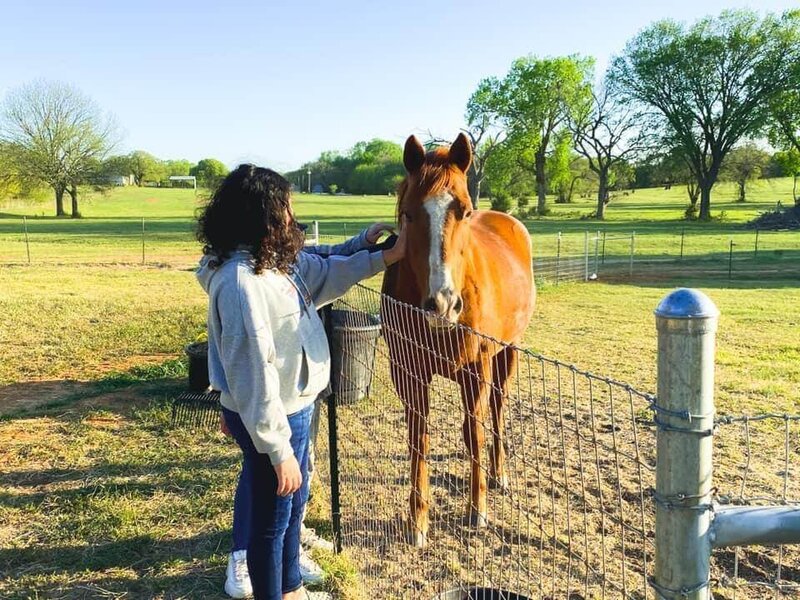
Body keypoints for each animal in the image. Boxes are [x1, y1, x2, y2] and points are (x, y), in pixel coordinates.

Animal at [382, 134, 536, 548]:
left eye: (464, 211)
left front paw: (476, 509)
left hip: (507, 354)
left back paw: (499, 474)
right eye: (409, 213)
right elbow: (418, 437)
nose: (443, 304)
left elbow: (474, 434)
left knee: (497, 409)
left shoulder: (476, 370)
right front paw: (417, 521)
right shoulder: (409, 373)